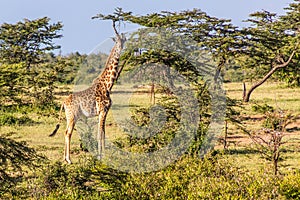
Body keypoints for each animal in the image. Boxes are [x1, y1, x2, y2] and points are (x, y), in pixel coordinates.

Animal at [50, 21, 126, 163]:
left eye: (122, 40)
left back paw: (64, 158)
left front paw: (103, 155)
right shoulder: (102, 110)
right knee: (68, 133)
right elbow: (100, 133)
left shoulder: (104, 111)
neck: (108, 85)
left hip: (69, 117)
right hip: (72, 116)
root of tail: (63, 102)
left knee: (65, 131)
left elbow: (102, 132)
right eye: (117, 41)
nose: (121, 48)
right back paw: (69, 159)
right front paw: (102, 156)